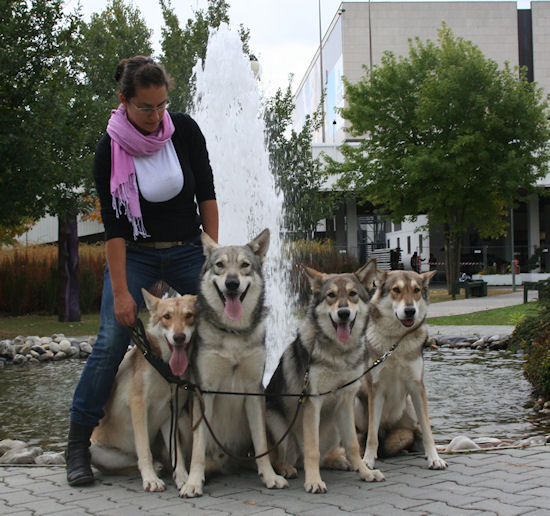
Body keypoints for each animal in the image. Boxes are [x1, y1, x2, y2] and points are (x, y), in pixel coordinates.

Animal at [356, 268, 450, 478]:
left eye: (416, 290)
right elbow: (372, 435)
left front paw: (434, 458)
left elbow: (428, 431)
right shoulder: (376, 389)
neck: (396, 342)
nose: (410, 311)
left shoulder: (417, 387)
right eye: (396, 290)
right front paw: (368, 460)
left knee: (418, 433)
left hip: (409, 409)